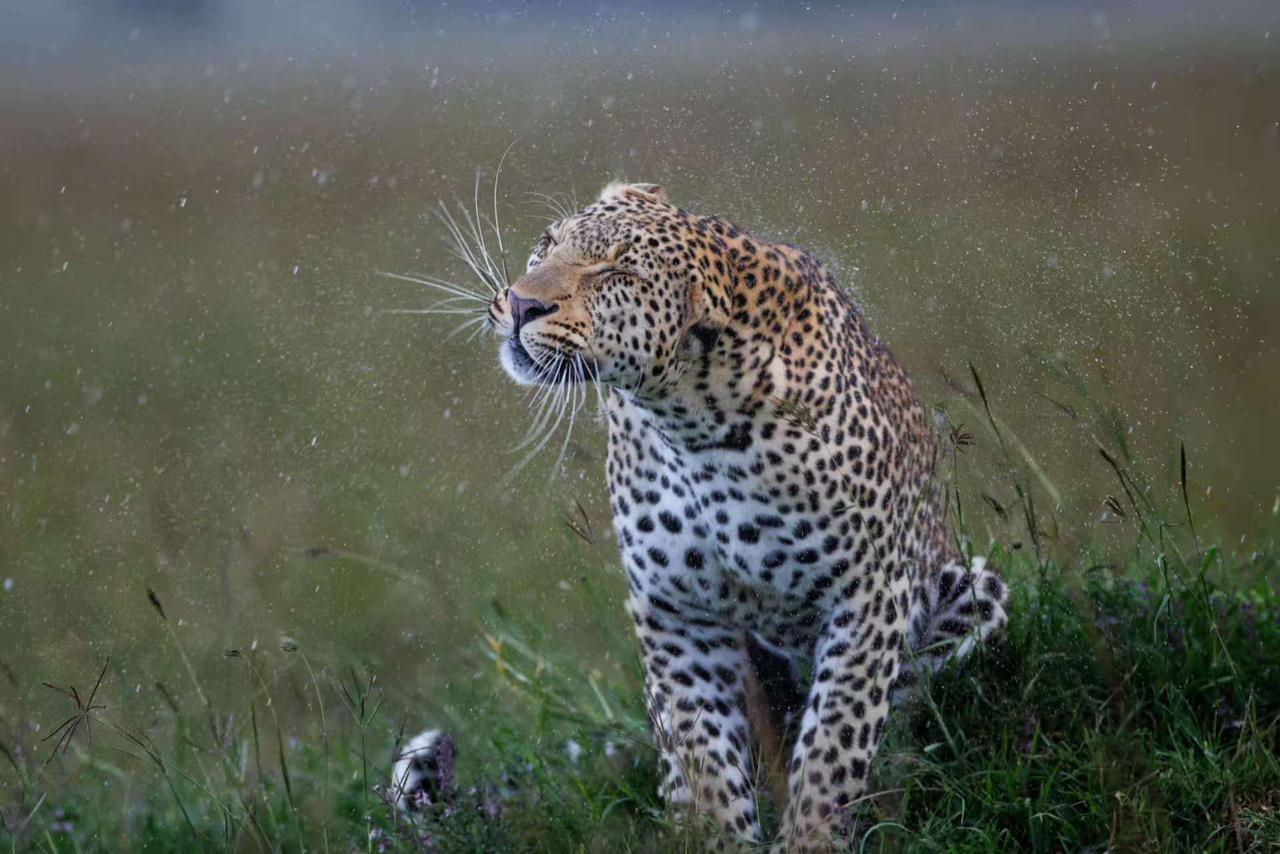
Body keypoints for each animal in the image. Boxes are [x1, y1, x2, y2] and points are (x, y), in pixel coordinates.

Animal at [393, 182, 1009, 851]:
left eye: (614, 273)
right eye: (547, 243)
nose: (522, 304)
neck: (692, 421)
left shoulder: (868, 596)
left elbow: (833, 745)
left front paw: (812, 838)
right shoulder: (675, 611)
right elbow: (704, 757)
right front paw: (718, 837)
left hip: (975, 593)